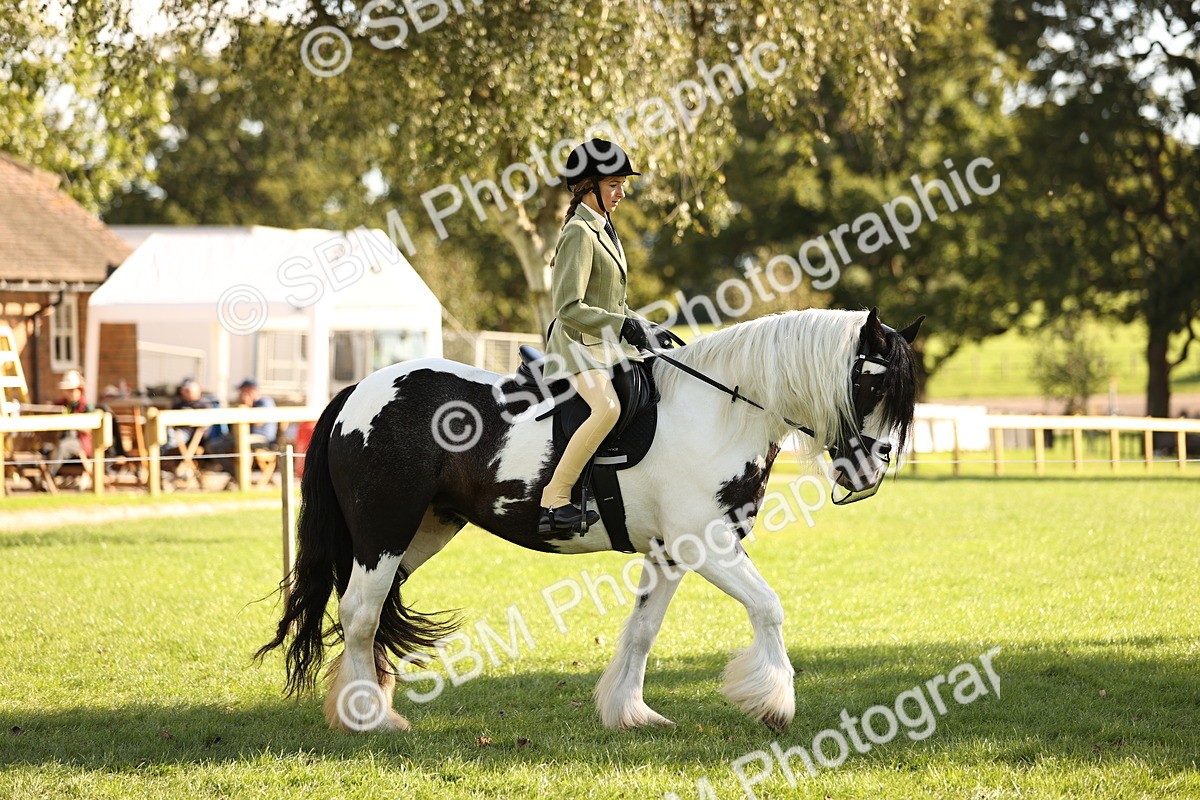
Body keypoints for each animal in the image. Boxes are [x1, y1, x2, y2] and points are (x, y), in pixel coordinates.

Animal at [256, 307, 923, 733]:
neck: (719, 411)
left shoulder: (670, 555)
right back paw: (369, 720)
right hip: (383, 532)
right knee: (360, 614)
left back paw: (364, 707)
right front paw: (774, 705)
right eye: (871, 384)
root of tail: (358, 392)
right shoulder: (707, 546)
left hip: (420, 533)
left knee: (367, 614)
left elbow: (642, 631)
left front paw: (630, 713)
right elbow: (769, 608)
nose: (869, 472)